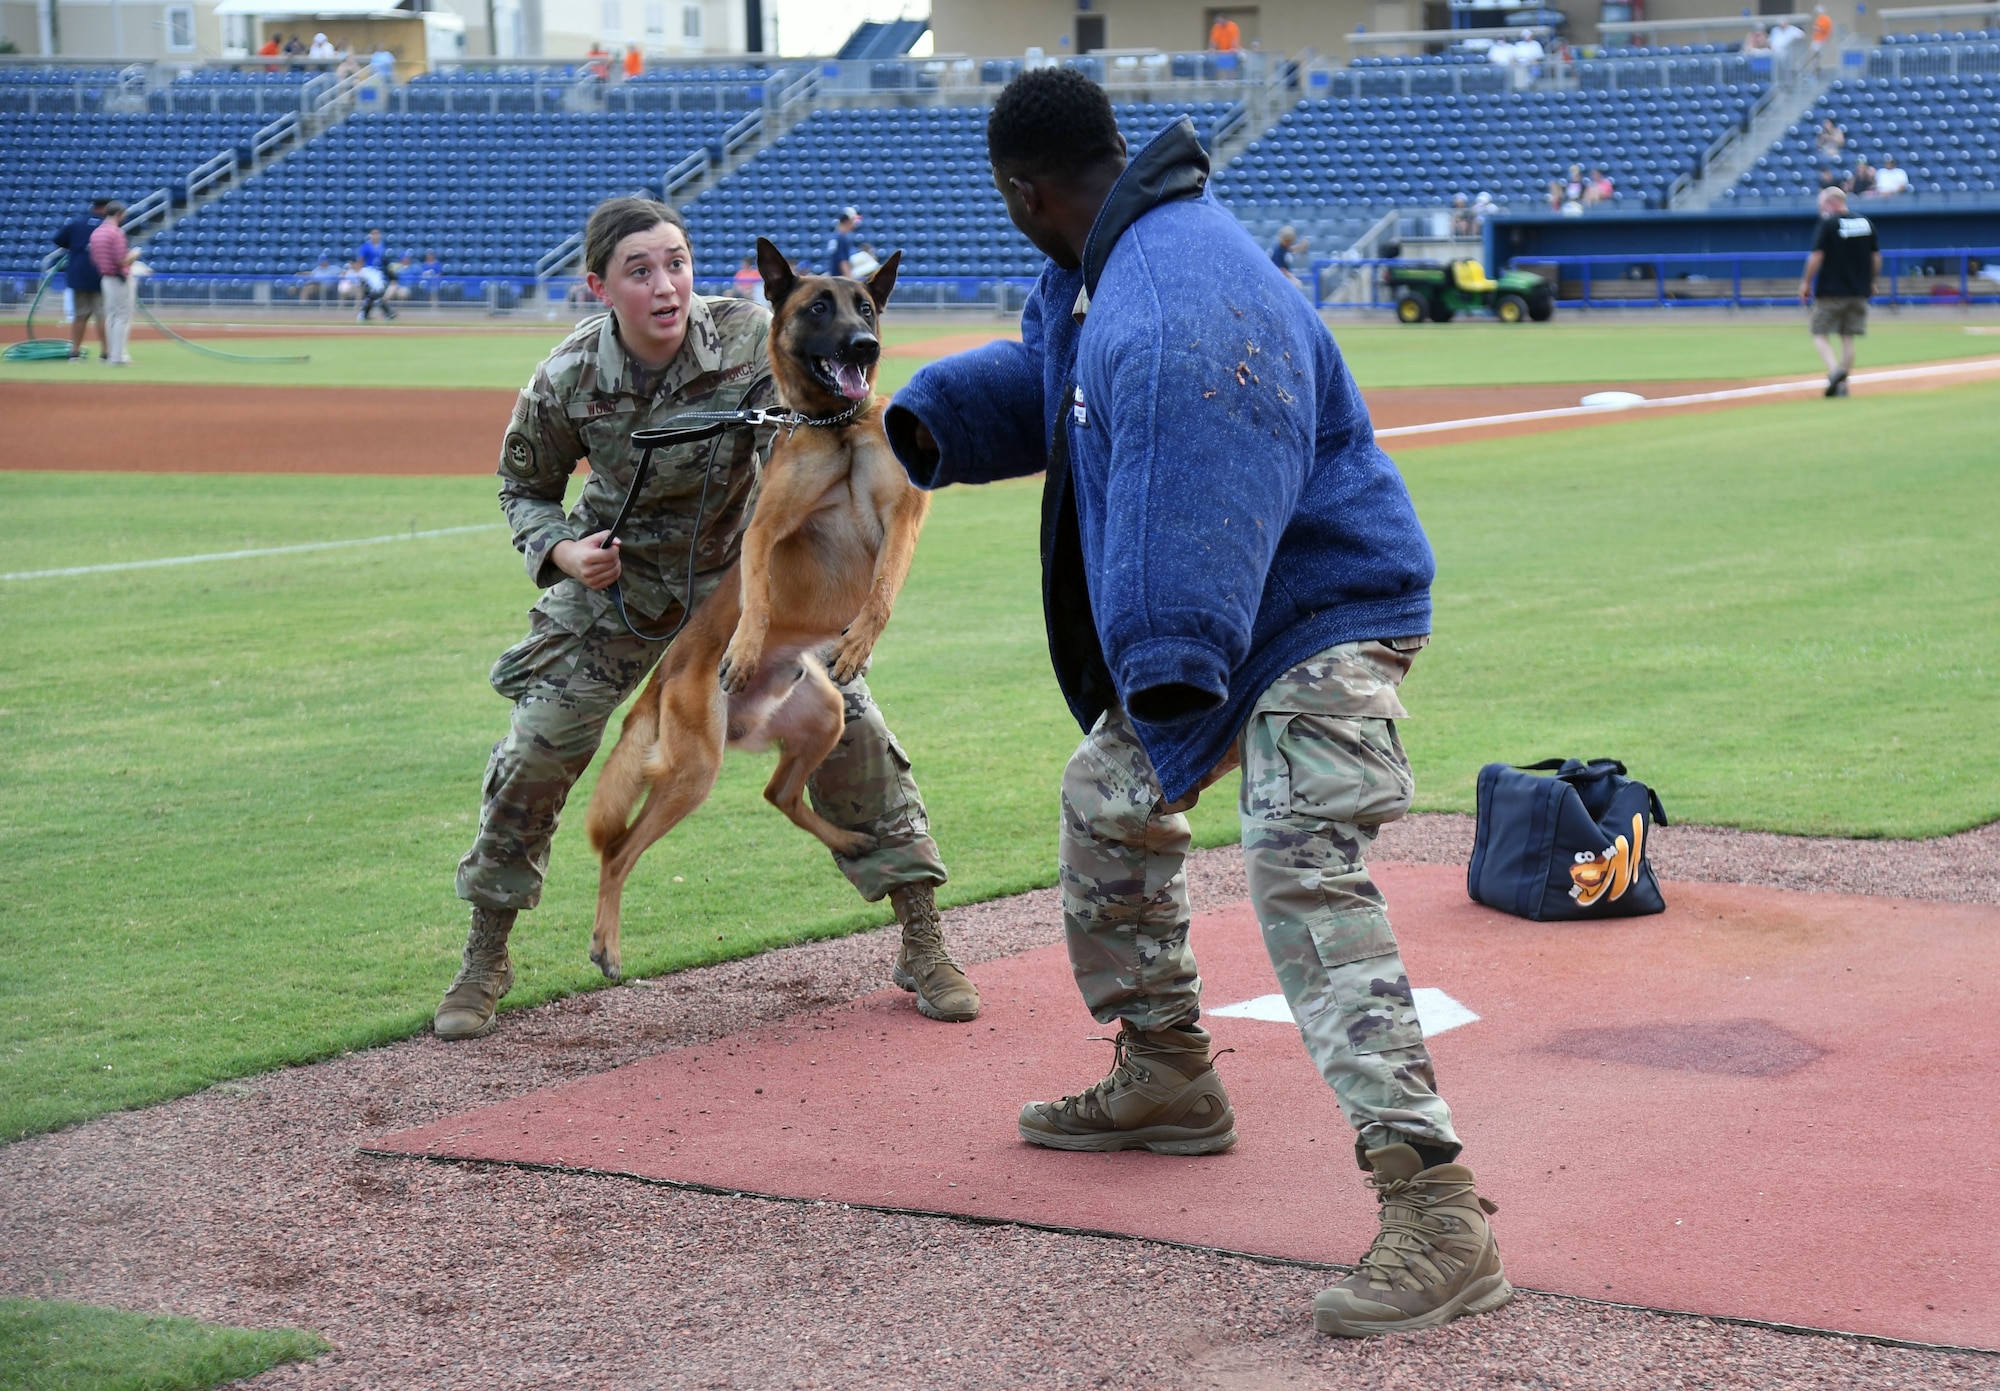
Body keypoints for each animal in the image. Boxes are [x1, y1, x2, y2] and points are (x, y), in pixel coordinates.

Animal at [576, 236, 924, 979]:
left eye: (865, 304)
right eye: (818, 306)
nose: (865, 345)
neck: (834, 425)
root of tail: (662, 678)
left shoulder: (904, 515)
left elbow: (882, 588)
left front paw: (862, 638)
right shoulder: (766, 526)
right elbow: (756, 587)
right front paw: (741, 643)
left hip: (821, 715)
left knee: (778, 794)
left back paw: (850, 841)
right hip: (693, 773)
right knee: (619, 850)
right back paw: (606, 943)